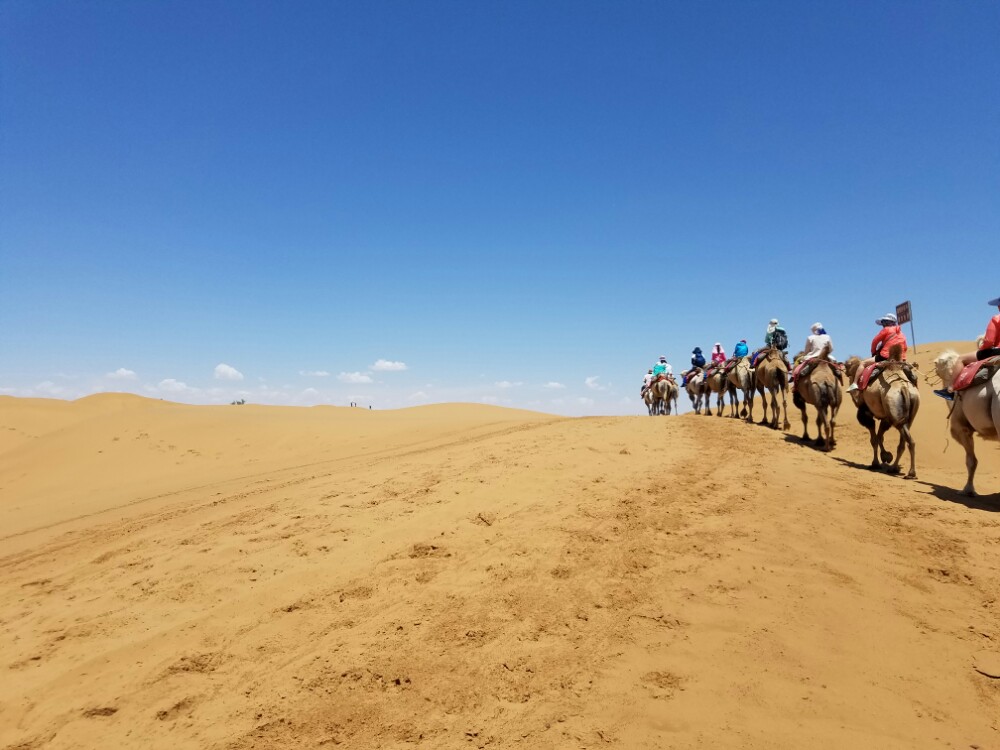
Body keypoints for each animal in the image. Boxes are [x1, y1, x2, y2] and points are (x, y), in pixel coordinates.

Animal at [848, 350, 916, 478]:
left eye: (847, 365)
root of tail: (903, 388)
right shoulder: (885, 417)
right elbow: (880, 436)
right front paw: (886, 456)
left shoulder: (866, 413)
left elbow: (874, 439)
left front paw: (876, 463)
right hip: (907, 413)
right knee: (905, 440)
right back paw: (897, 468)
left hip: (895, 412)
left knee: (906, 439)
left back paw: (908, 471)